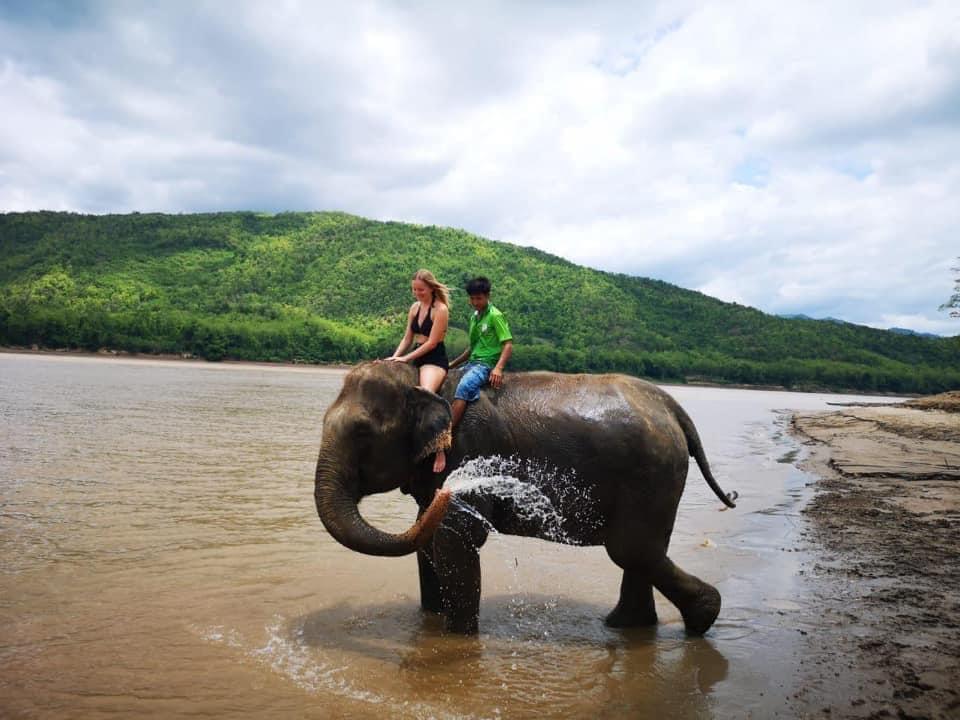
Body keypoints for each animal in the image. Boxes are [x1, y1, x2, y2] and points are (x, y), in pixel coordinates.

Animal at [314, 361, 737, 636]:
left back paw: (702, 618)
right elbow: (429, 537)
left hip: (651, 475)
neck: (422, 379)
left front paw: (457, 637)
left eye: (362, 433)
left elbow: (456, 537)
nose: (450, 490)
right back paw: (626, 627)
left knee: (631, 550)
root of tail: (673, 407)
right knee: (643, 552)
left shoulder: (468, 448)